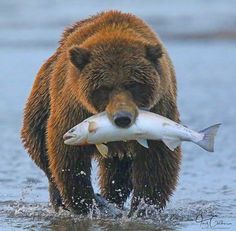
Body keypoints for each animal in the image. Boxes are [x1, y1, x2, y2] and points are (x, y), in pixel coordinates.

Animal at [21, 9, 182, 216]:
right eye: (105, 87)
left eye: (134, 84)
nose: (122, 118)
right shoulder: (74, 108)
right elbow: (68, 156)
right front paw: (86, 203)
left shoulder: (159, 111)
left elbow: (156, 160)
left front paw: (143, 207)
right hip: (42, 101)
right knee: (42, 150)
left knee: (117, 172)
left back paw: (112, 199)